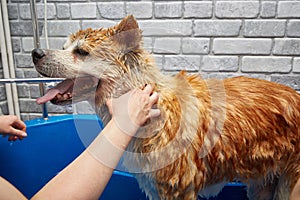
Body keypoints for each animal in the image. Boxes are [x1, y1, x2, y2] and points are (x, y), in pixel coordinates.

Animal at [32, 15, 300, 198]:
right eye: (65, 47)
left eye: (82, 52)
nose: (36, 52)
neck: (156, 107)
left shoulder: (177, 188)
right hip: (261, 182)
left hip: (288, 182)